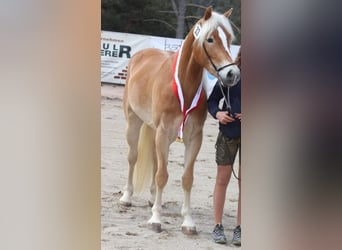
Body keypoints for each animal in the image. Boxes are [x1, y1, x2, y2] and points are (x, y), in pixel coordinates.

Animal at [120, 6, 240, 234]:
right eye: (210, 39)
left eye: (229, 39)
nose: (232, 74)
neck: (183, 85)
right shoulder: (162, 133)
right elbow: (162, 175)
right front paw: (156, 219)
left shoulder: (194, 138)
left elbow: (186, 178)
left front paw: (188, 222)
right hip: (133, 122)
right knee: (133, 158)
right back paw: (126, 197)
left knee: (155, 162)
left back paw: (152, 199)